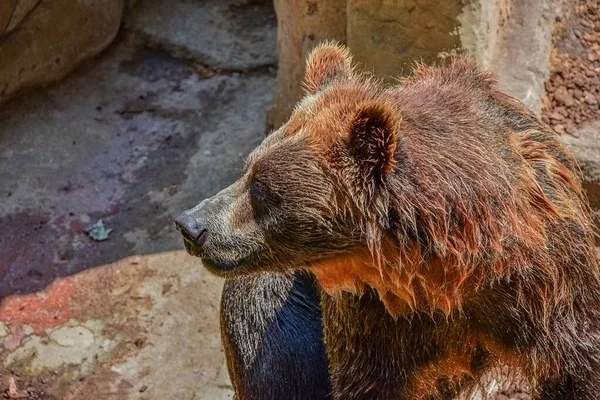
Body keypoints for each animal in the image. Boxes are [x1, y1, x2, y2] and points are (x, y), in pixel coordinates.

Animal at [176, 41, 600, 400]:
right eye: (248, 169)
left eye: (262, 188)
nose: (191, 225)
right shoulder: (371, 315)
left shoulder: (549, 283)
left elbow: (578, 366)